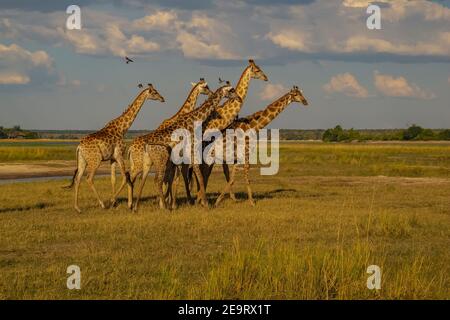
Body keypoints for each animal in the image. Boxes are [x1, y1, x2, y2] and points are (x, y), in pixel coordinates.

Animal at [65, 83, 165, 212]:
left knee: (78, 179)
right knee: (89, 178)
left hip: (83, 160)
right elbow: (124, 177)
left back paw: (78, 208)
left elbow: (113, 179)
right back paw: (102, 204)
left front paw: (115, 203)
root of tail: (79, 147)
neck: (122, 128)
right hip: (95, 160)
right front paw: (114, 201)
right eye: (154, 92)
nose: (162, 99)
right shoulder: (119, 154)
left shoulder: (112, 158)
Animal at [118, 77, 212, 205]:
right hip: (139, 163)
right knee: (130, 178)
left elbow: (169, 178)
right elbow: (172, 178)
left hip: (136, 162)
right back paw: (128, 203)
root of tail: (131, 147)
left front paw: (166, 200)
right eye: (206, 87)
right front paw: (170, 201)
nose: (211, 92)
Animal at [126, 81, 239, 211]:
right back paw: (160, 206)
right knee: (151, 179)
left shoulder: (181, 158)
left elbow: (178, 178)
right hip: (155, 160)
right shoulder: (192, 153)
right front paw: (204, 203)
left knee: (143, 179)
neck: (193, 120)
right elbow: (197, 176)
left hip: (148, 161)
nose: (238, 97)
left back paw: (137, 207)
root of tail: (132, 147)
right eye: (231, 90)